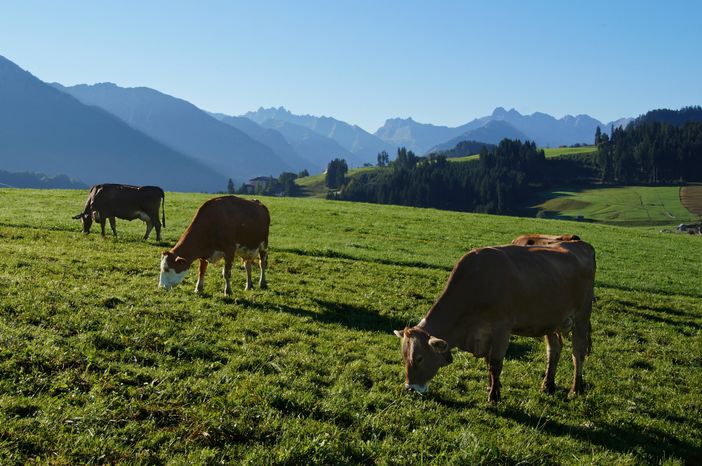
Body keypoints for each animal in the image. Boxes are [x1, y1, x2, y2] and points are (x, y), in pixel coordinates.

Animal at [394, 238, 596, 402]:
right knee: (553, 350)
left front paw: (494, 396)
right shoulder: (484, 334)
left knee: (577, 352)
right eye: (404, 357)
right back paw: (547, 385)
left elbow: (496, 363)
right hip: (550, 321)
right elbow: (488, 363)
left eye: (418, 358)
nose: (410, 388)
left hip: (582, 315)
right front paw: (491, 387)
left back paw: (575, 389)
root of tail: (582, 244)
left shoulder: (502, 328)